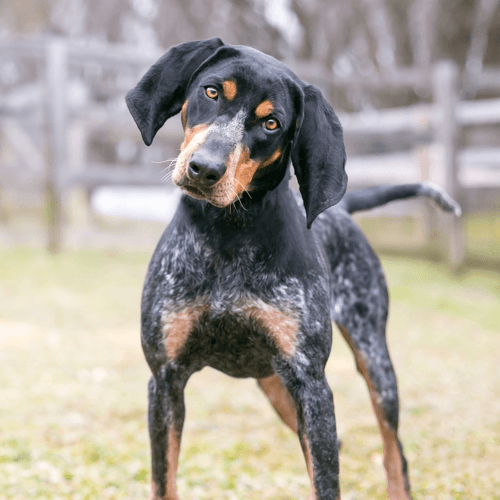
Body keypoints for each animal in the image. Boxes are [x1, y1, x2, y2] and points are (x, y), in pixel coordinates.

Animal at [126, 37, 460, 498]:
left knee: (394, 451)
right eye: (211, 92)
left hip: (373, 364)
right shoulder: (165, 380)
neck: (228, 235)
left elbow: (327, 481)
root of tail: (345, 210)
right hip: (277, 388)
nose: (205, 169)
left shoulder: (311, 385)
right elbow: (164, 480)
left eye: (271, 123)